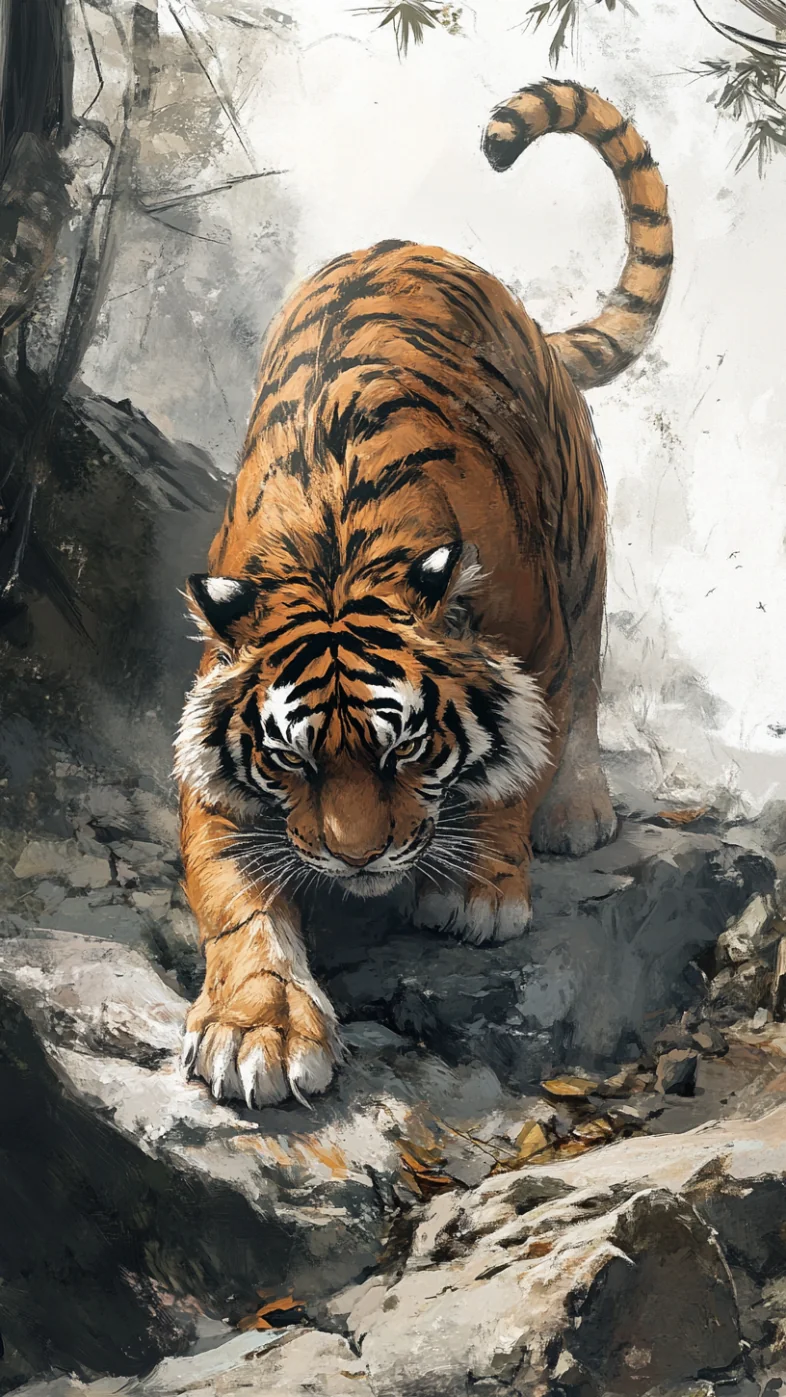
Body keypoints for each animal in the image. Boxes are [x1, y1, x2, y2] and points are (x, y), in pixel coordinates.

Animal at [174, 78, 673, 1109]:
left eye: (404, 746)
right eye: (290, 761)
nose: (356, 858)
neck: (335, 552)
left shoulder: (535, 641)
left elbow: (522, 759)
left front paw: (478, 890)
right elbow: (235, 891)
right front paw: (258, 1025)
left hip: (582, 533)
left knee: (590, 679)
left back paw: (578, 810)